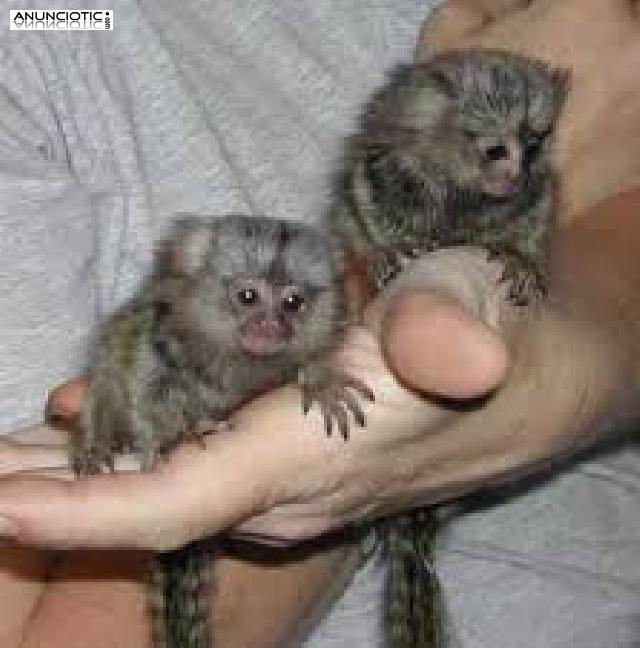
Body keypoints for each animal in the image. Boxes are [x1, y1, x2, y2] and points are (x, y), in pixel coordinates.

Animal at [71, 214, 374, 647]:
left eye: (292, 302)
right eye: (248, 297)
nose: (270, 325)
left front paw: (320, 380)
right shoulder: (161, 336)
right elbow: (141, 382)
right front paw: (166, 438)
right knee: (107, 375)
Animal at [329, 49, 570, 647]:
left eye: (534, 143)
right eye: (495, 150)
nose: (514, 174)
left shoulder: (533, 198)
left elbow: (533, 216)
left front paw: (520, 258)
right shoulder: (380, 172)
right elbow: (361, 208)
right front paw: (386, 253)